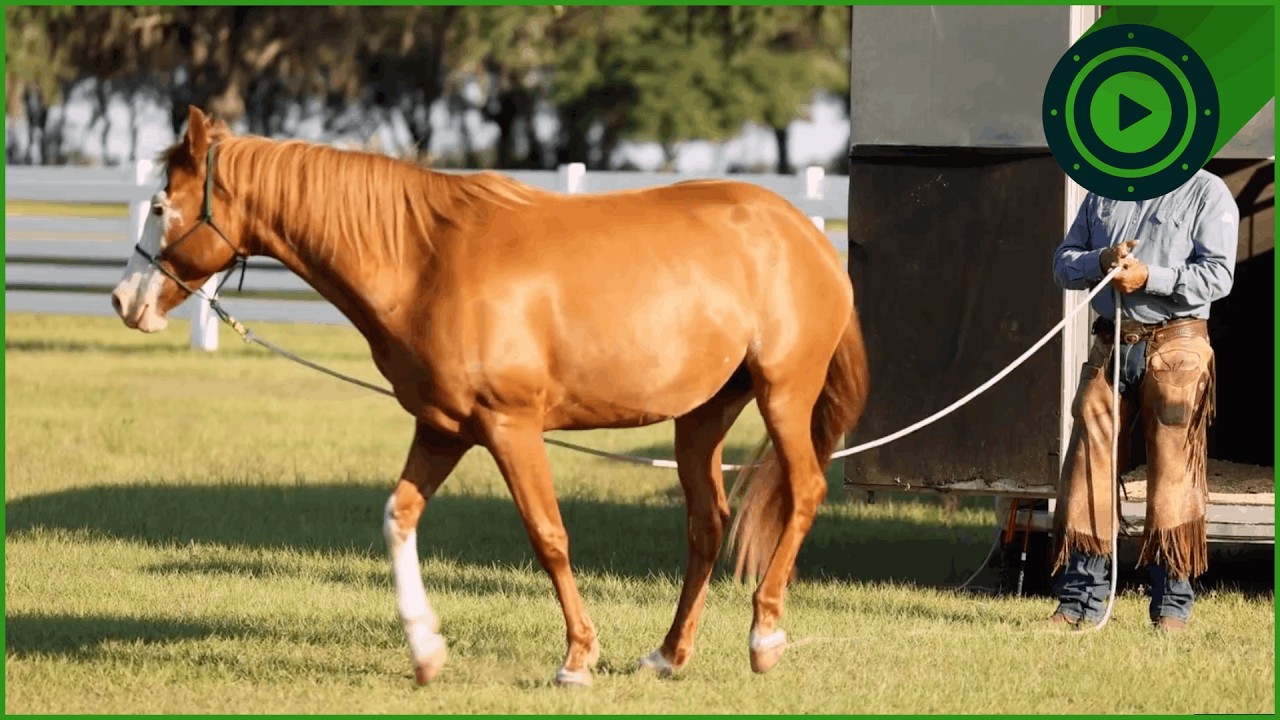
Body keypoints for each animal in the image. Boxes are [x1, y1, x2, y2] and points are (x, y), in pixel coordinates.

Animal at [111, 105, 870, 687]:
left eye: (161, 205)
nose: (123, 300)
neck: (424, 262)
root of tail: (806, 235)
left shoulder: (511, 427)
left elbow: (548, 535)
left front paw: (576, 659)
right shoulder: (443, 428)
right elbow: (399, 518)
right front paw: (425, 652)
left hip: (784, 394)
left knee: (803, 491)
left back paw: (764, 638)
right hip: (703, 415)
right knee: (708, 523)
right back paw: (668, 655)